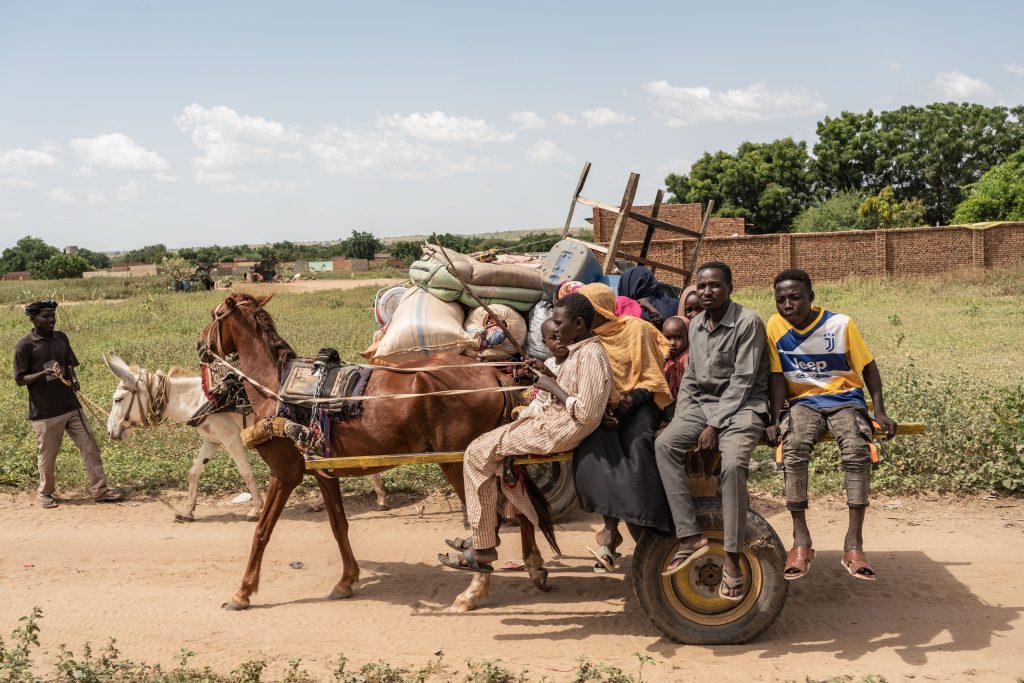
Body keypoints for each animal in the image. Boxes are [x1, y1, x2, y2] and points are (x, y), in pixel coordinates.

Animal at [194, 294, 557, 614]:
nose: (200, 345)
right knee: (520, 507)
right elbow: (338, 525)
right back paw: (534, 567)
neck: (275, 388)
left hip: (458, 461)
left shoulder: (285, 473)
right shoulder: (323, 472)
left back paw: (474, 591)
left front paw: (243, 592)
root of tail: (493, 373)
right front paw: (347, 580)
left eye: (214, 316)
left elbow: (262, 531)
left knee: (488, 519)